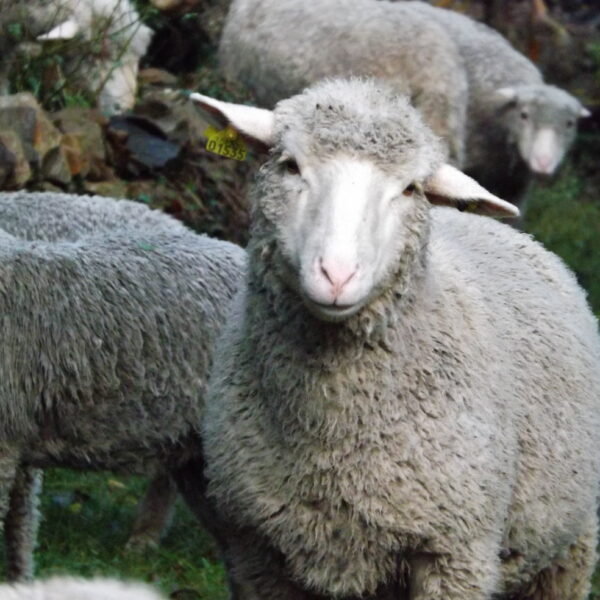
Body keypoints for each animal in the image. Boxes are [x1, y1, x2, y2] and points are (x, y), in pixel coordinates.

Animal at [186, 77, 600, 596]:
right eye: (291, 165)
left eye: (408, 189)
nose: (337, 274)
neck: (328, 435)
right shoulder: (252, 548)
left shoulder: (454, 554)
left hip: (570, 548)